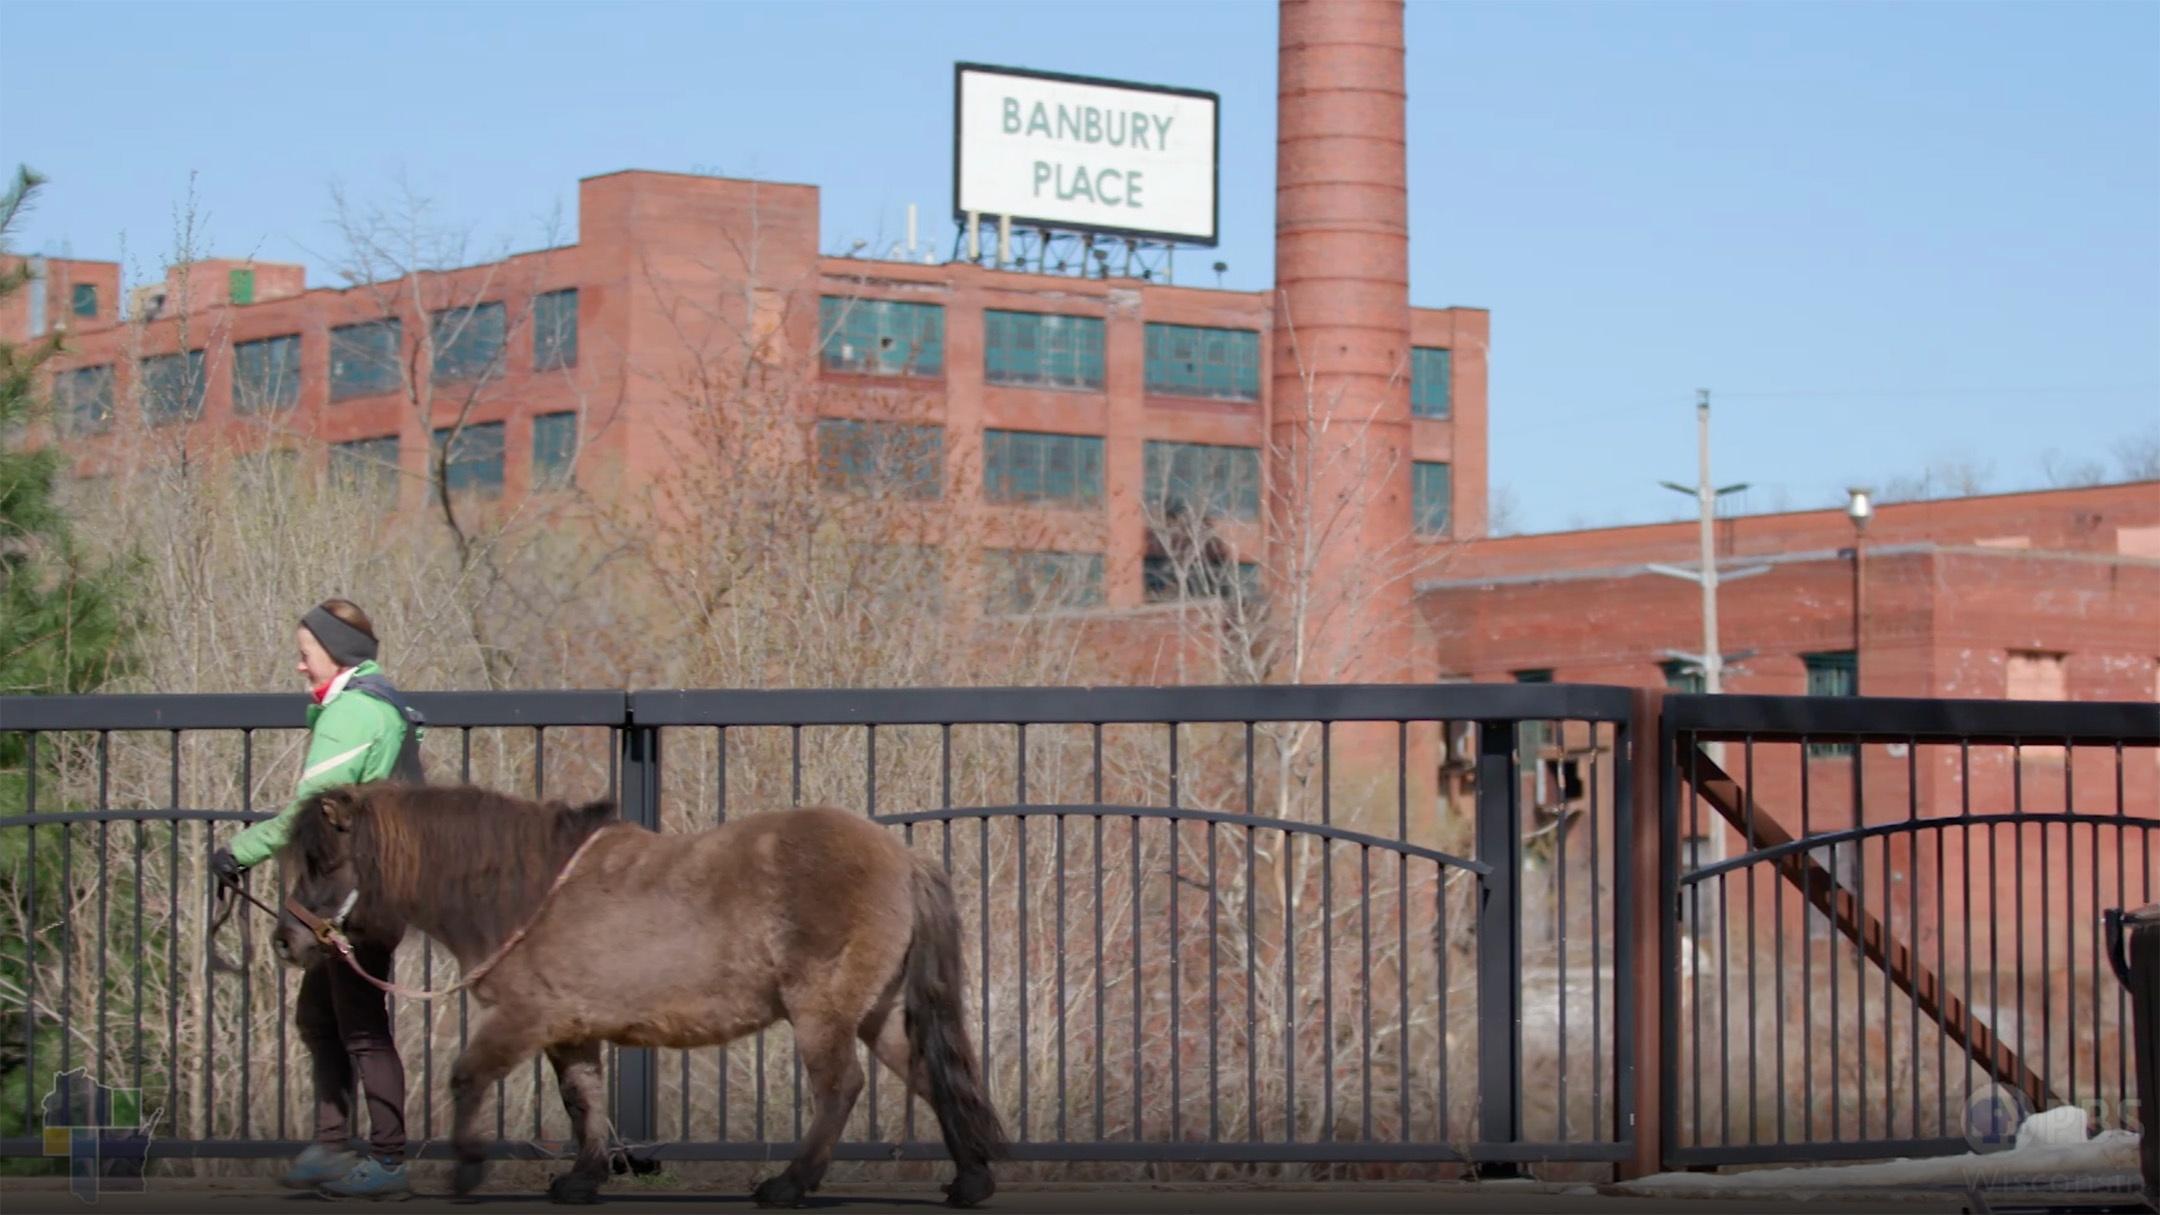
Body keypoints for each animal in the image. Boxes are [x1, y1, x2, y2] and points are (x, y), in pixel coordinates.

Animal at [274, 778, 1006, 1202]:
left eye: (323, 861)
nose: (288, 941)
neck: (523, 890)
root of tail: (903, 858)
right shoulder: (569, 1028)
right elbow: (582, 1099)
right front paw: (582, 1176)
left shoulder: (523, 1016)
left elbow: (467, 1076)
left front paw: (467, 1170)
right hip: (877, 1009)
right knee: (925, 1074)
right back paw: (971, 1179)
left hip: (822, 1008)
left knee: (840, 1087)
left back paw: (790, 1183)